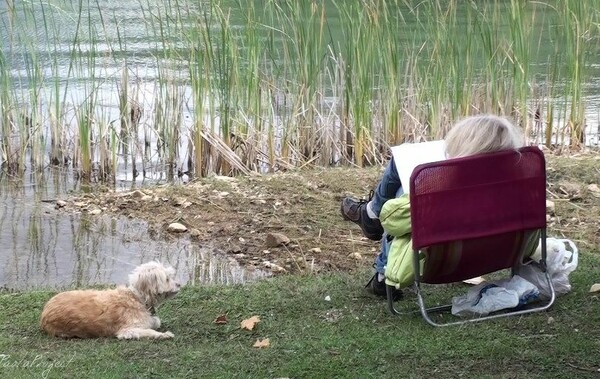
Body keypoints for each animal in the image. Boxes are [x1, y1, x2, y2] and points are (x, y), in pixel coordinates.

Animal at [39, 262, 179, 340]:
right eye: (167, 279)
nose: (179, 284)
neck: (137, 297)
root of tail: (44, 312)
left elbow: (155, 321)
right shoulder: (128, 330)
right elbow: (149, 330)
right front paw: (164, 334)